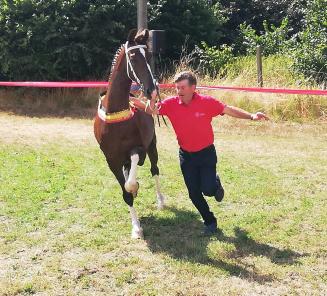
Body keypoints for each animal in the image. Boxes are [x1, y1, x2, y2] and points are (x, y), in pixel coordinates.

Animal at [94, 28, 167, 239]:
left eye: (149, 56)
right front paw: (136, 227)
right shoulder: (111, 160)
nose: (152, 91)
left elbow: (131, 177)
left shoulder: (139, 149)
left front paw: (135, 187)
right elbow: (126, 192)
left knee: (154, 170)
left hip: (152, 146)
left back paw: (160, 200)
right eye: (133, 57)